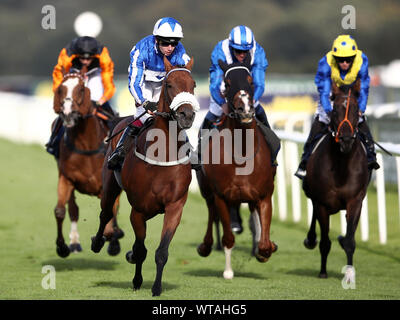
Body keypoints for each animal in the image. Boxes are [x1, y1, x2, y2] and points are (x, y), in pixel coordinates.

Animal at [52, 69, 122, 258]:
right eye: (60, 89)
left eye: (81, 89)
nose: (68, 113)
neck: (86, 145)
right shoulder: (66, 178)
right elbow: (60, 211)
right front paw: (62, 247)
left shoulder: (105, 187)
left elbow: (110, 215)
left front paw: (111, 240)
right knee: (73, 209)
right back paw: (75, 242)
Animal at [90, 55, 198, 296]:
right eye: (169, 85)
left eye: (193, 85)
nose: (187, 115)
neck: (163, 154)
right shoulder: (138, 210)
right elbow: (140, 249)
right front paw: (136, 276)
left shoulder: (174, 206)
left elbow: (161, 251)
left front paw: (156, 288)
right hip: (110, 184)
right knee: (105, 213)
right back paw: (97, 242)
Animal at [195, 58, 276, 278]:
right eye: (227, 83)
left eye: (250, 80)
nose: (245, 109)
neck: (242, 152)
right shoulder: (222, 196)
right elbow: (228, 237)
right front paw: (228, 271)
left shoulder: (264, 194)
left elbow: (264, 242)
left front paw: (265, 249)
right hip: (206, 190)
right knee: (211, 212)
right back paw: (206, 246)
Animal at [302, 79, 370, 282]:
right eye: (335, 110)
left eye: (355, 109)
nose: (346, 139)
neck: (341, 166)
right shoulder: (322, 203)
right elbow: (325, 240)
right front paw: (323, 271)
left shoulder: (355, 201)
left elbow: (349, 240)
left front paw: (349, 275)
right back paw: (310, 239)